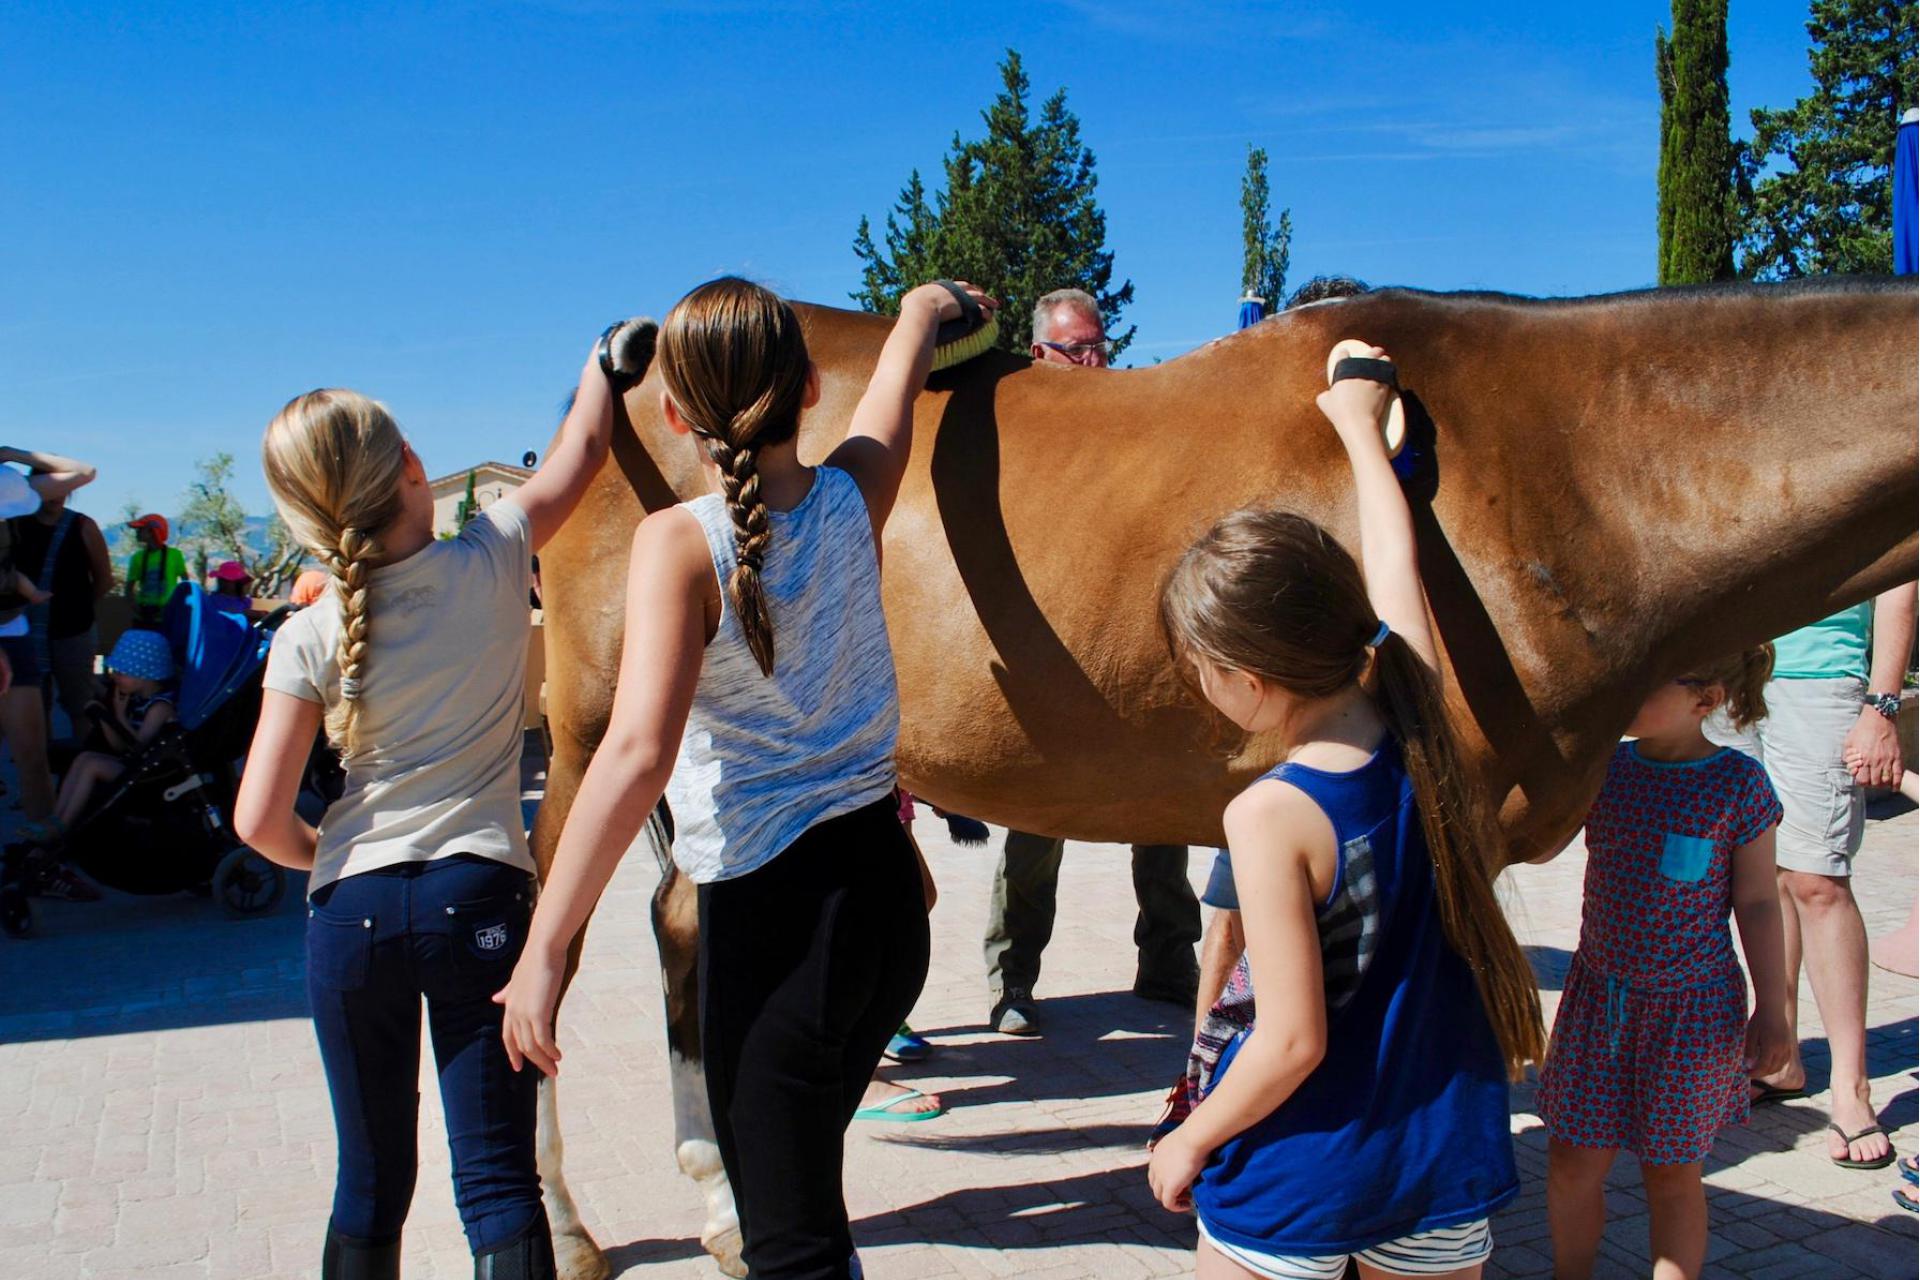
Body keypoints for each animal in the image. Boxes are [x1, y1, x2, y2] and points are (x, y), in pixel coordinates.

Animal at [529, 276, 1920, 1274]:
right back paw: (572, 1229)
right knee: (548, 953)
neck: (1555, 461)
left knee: (688, 927)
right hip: (595, 736)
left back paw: (723, 1199)